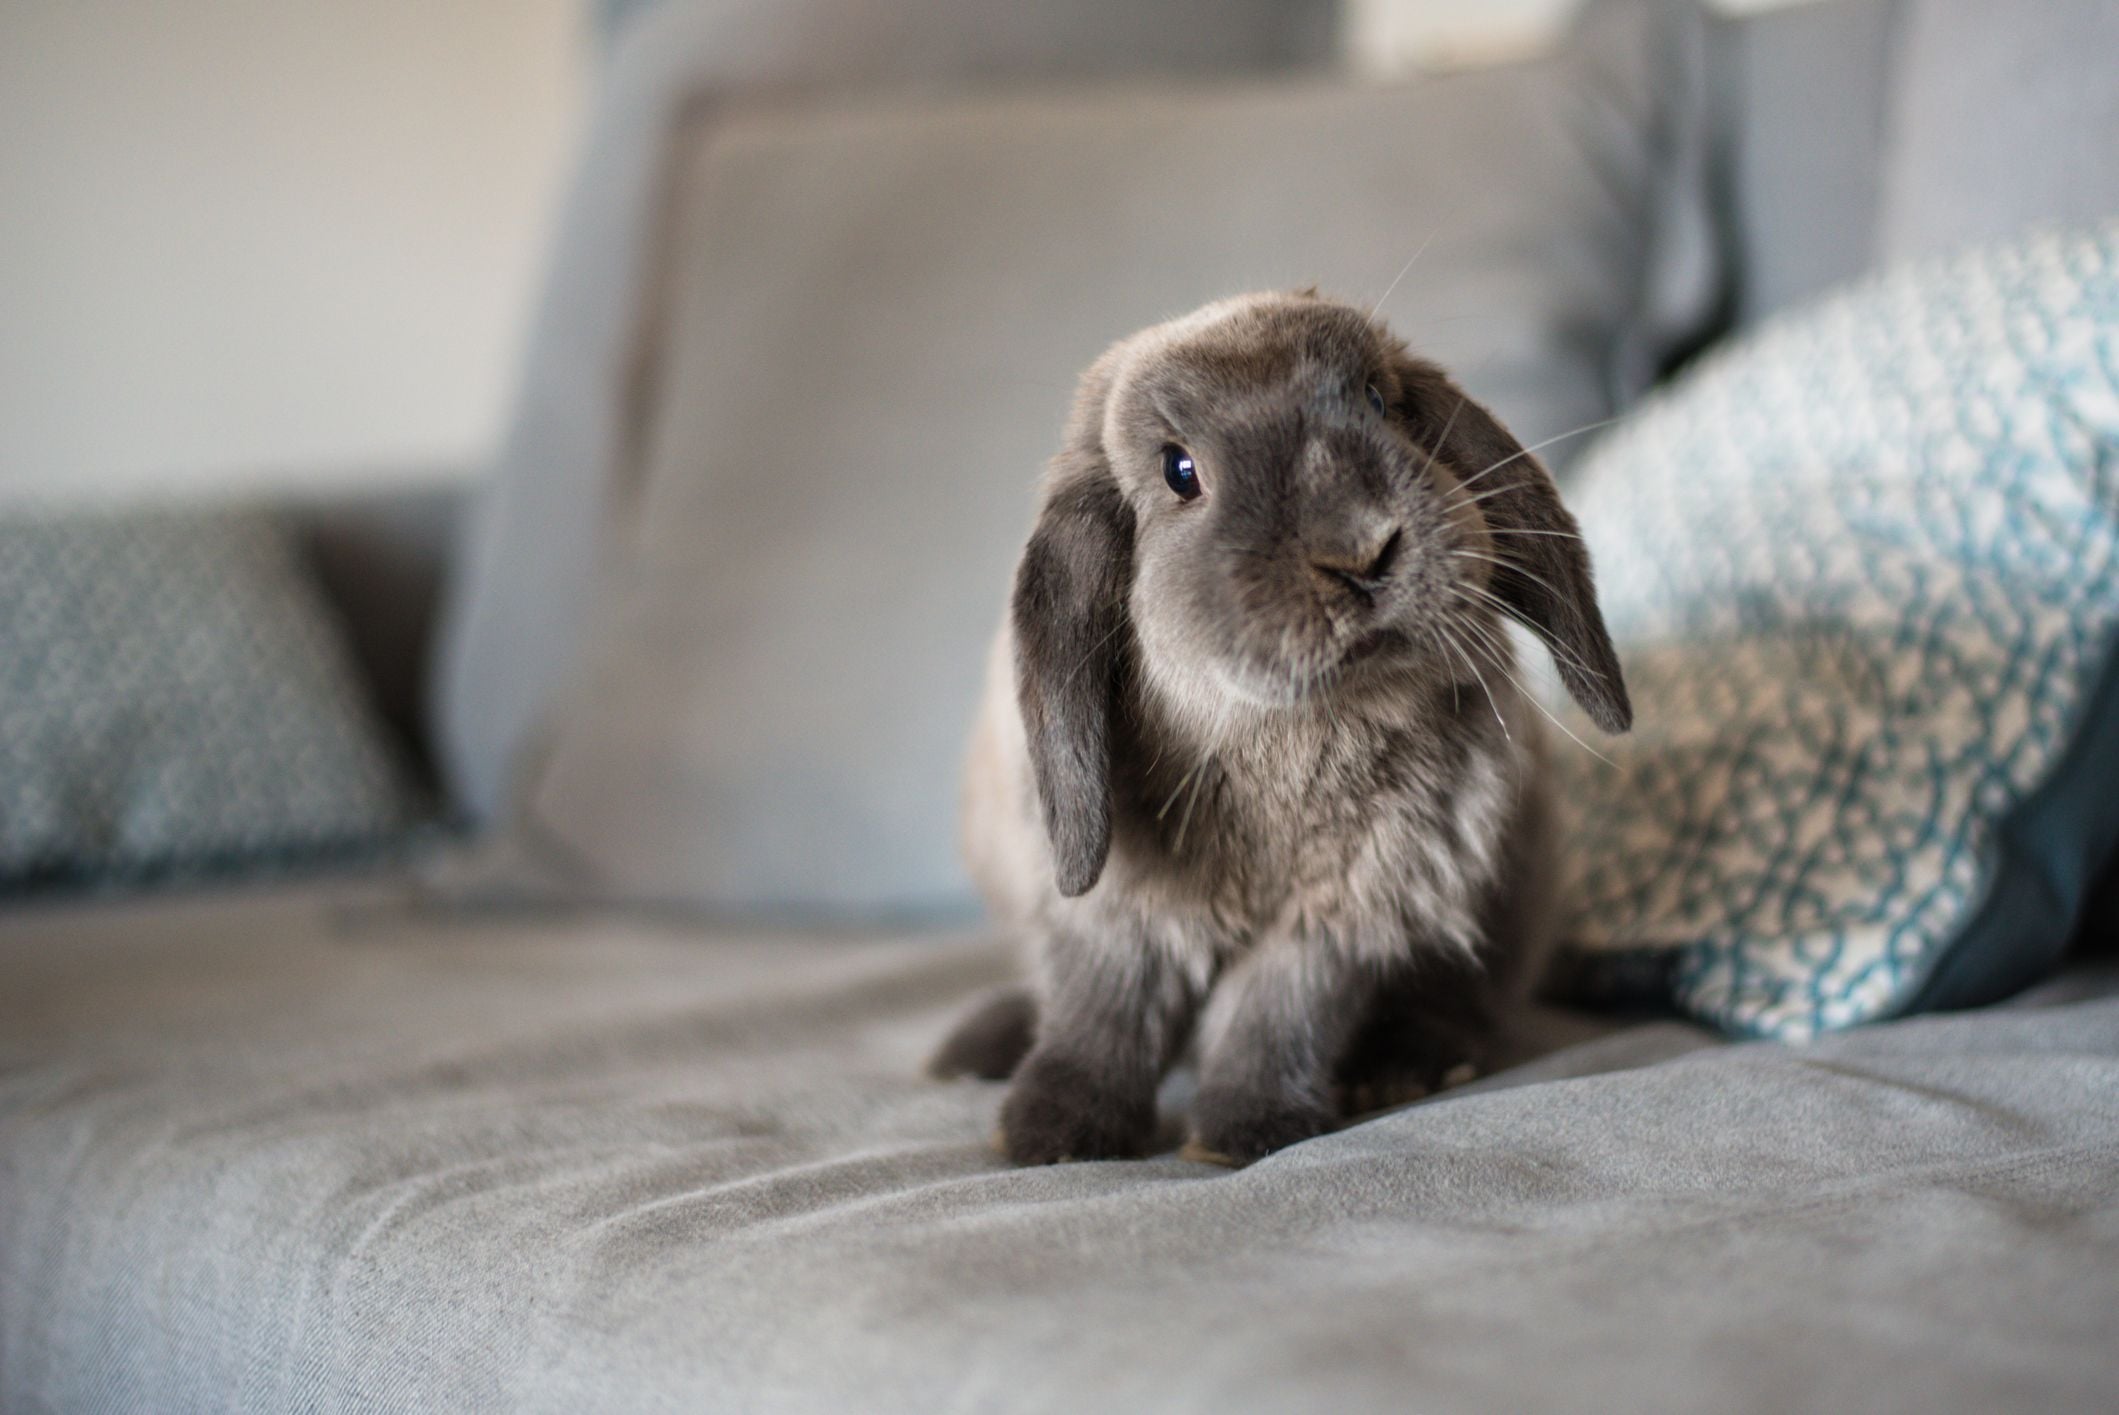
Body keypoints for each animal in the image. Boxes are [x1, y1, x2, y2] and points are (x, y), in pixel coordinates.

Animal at [930, 290, 1630, 1167]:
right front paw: (1049, 1133)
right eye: (1179, 470)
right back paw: (976, 1048)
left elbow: (1275, 1014)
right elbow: (1102, 1009)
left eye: (1378, 400)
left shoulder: (1341, 915)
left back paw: (1404, 1066)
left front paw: (1243, 1133)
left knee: (1468, 1003)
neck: (1287, 735)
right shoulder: (1114, 913)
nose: (1361, 549)